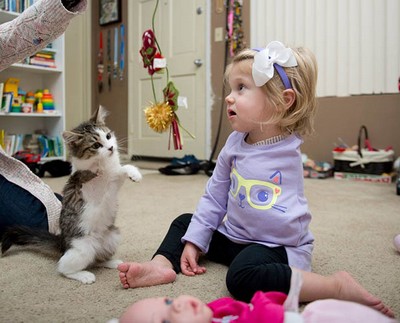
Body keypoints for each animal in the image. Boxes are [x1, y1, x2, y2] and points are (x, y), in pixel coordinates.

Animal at [1, 105, 142, 284]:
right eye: (96, 145)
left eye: (108, 136)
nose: (111, 148)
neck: (104, 164)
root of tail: (62, 243)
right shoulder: (88, 183)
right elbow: (102, 174)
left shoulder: (113, 183)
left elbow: (121, 170)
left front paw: (134, 173)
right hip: (82, 248)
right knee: (64, 268)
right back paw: (84, 275)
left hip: (113, 236)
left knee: (97, 259)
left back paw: (112, 262)